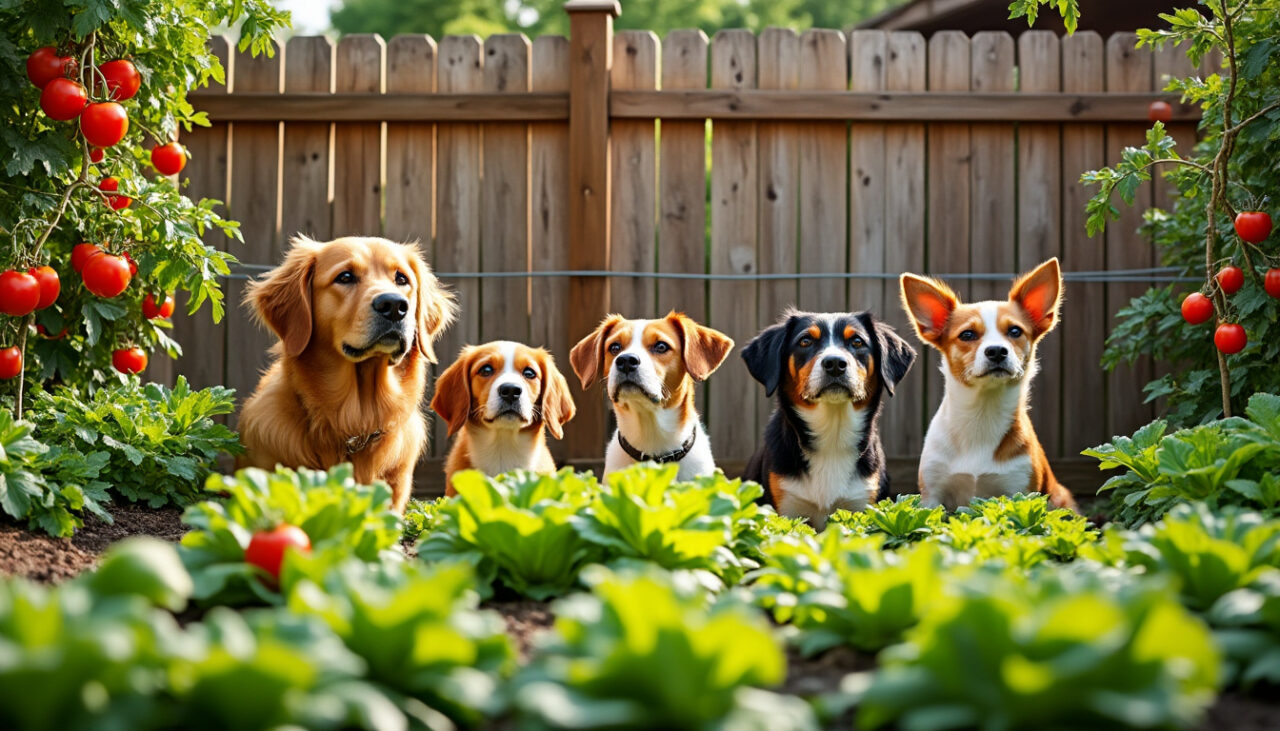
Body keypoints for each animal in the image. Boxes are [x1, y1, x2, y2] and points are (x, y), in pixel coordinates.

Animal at [747, 312, 916, 530]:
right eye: (805, 341)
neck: (833, 435)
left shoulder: (863, 504)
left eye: (857, 342)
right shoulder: (786, 508)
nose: (835, 363)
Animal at [901, 259, 1080, 512]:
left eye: (1015, 331)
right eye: (967, 334)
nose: (996, 350)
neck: (982, 413)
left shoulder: (1019, 490)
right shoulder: (932, 494)